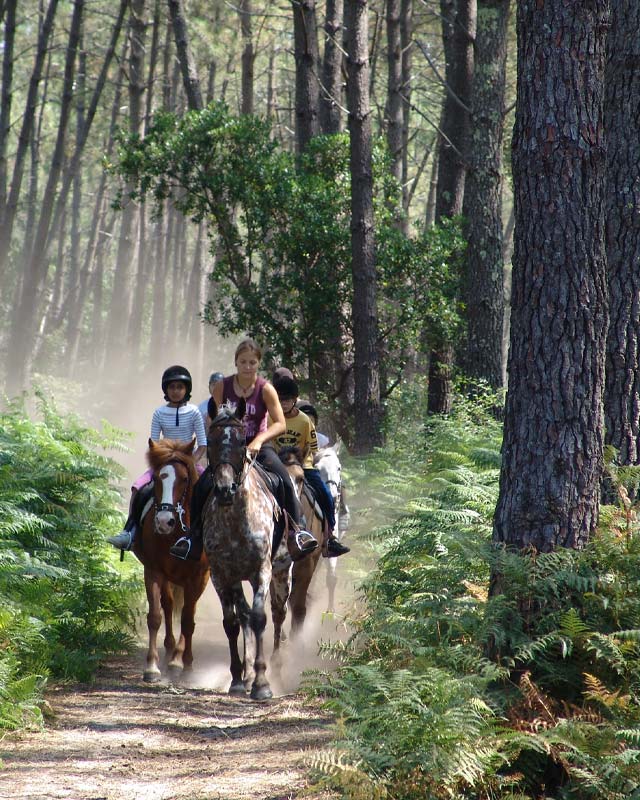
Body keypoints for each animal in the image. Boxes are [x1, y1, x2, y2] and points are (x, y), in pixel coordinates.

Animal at [132, 438, 210, 680]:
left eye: (184, 479)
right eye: (157, 478)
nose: (164, 521)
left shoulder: (197, 576)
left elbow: (187, 619)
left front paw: (182, 663)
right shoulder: (153, 570)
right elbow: (155, 616)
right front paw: (151, 666)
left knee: (187, 612)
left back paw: (178, 658)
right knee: (168, 605)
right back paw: (168, 650)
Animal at [204, 400, 292, 700]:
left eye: (242, 441)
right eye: (210, 440)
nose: (224, 489)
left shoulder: (261, 571)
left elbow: (259, 617)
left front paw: (262, 683)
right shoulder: (222, 574)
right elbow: (231, 622)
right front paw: (238, 678)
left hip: (282, 573)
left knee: (277, 614)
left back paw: (275, 668)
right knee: (242, 617)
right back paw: (247, 672)